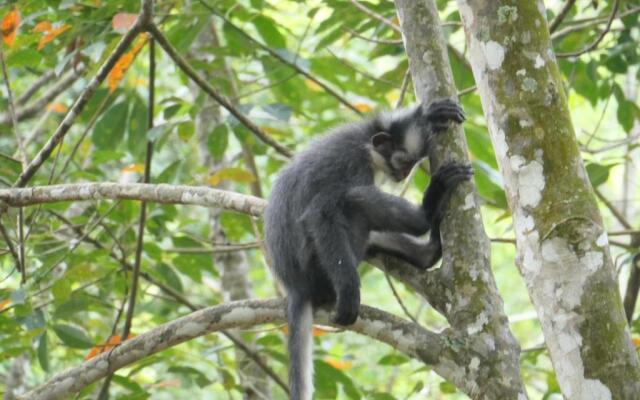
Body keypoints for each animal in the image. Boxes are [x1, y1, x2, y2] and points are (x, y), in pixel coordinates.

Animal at [263, 99, 471, 400]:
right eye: (405, 162)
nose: (403, 175)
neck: (365, 144)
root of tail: (295, 287)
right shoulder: (351, 164)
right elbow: (320, 214)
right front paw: (350, 291)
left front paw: (429, 113)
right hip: (316, 269)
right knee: (352, 200)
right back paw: (427, 210)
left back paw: (427, 252)